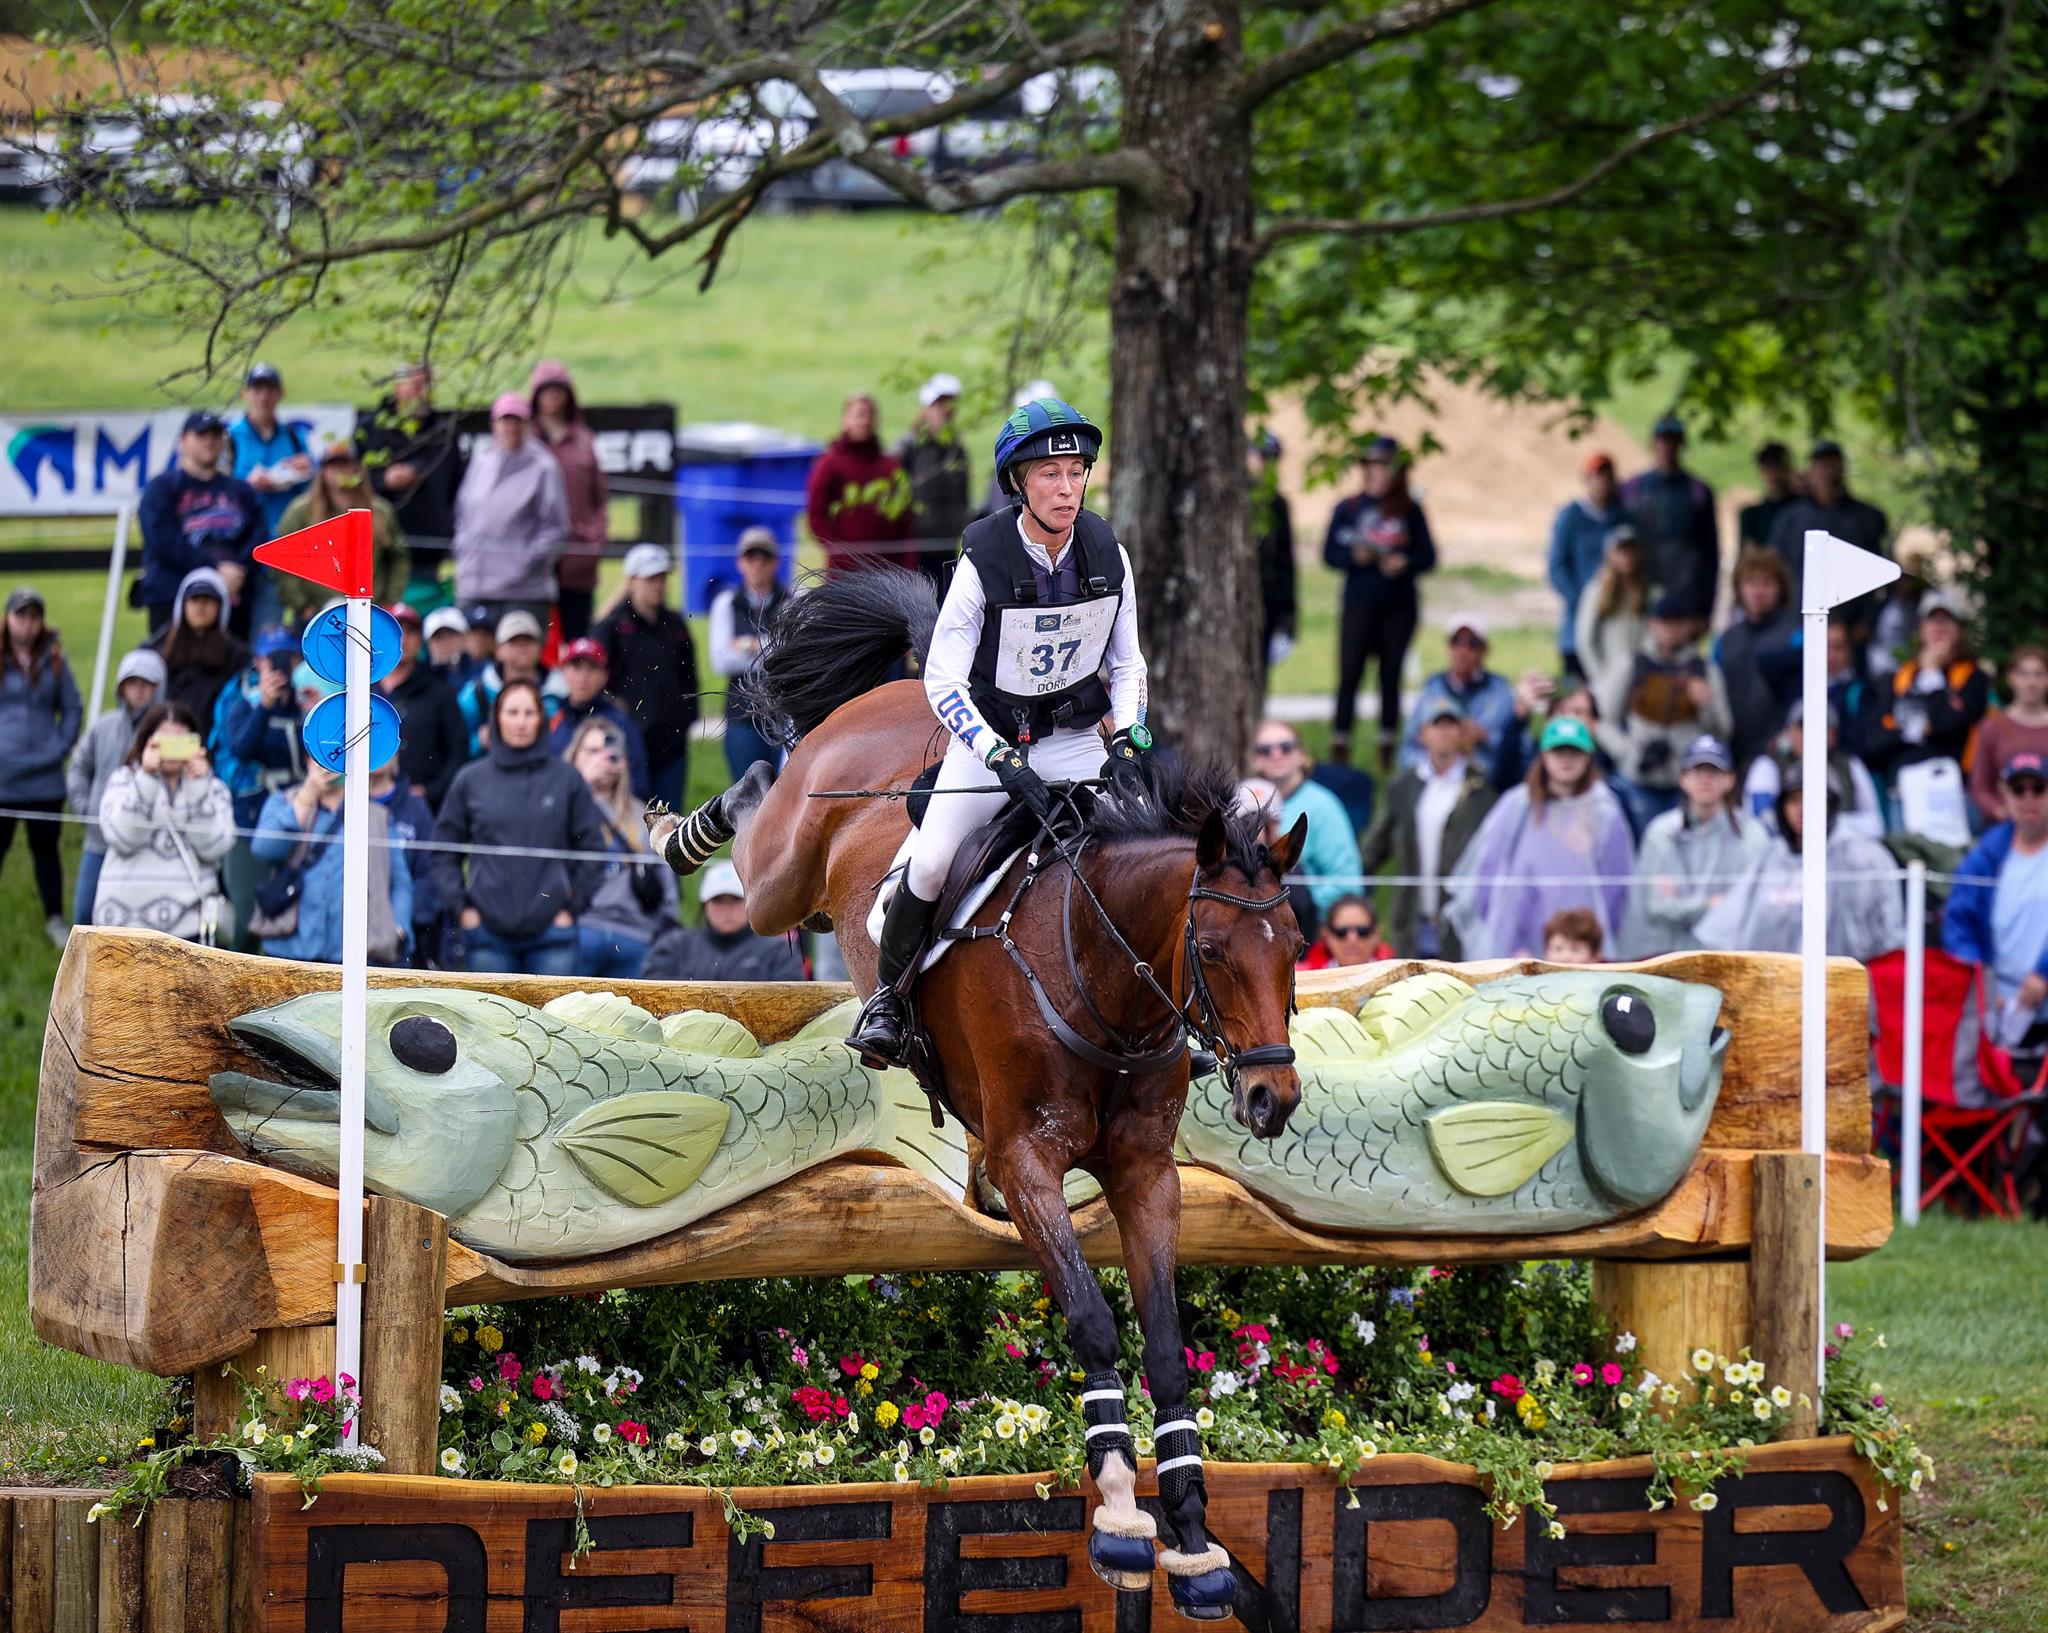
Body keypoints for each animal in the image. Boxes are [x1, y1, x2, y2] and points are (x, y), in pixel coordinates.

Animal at [663, 565, 1318, 1614]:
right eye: (1213, 950)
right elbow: (1093, 1322)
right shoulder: (1027, 1160)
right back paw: (692, 828)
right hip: (779, 875)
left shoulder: (1144, 1172)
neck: (1101, 975)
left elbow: (1165, 1345)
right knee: (762, 809)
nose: (1273, 1100)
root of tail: (895, 693)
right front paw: (1122, 1521)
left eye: (1294, 945)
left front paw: (1192, 1542)